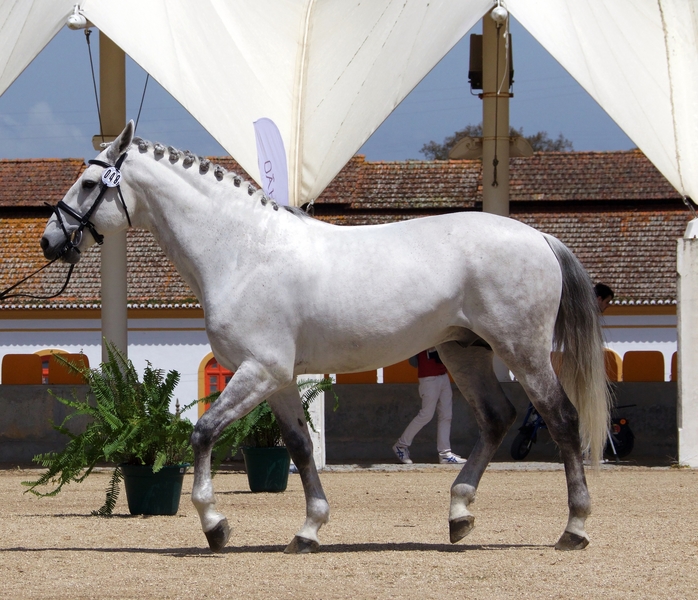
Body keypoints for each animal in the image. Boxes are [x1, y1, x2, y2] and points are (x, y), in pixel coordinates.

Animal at [40, 121, 609, 553]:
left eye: (88, 184)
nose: (50, 241)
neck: (243, 250)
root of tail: (538, 236)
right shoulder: (278, 378)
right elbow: (299, 447)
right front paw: (309, 529)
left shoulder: (259, 370)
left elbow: (203, 433)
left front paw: (215, 525)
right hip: (462, 351)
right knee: (496, 418)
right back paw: (459, 513)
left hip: (523, 352)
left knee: (562, 419)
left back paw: (575, 528)